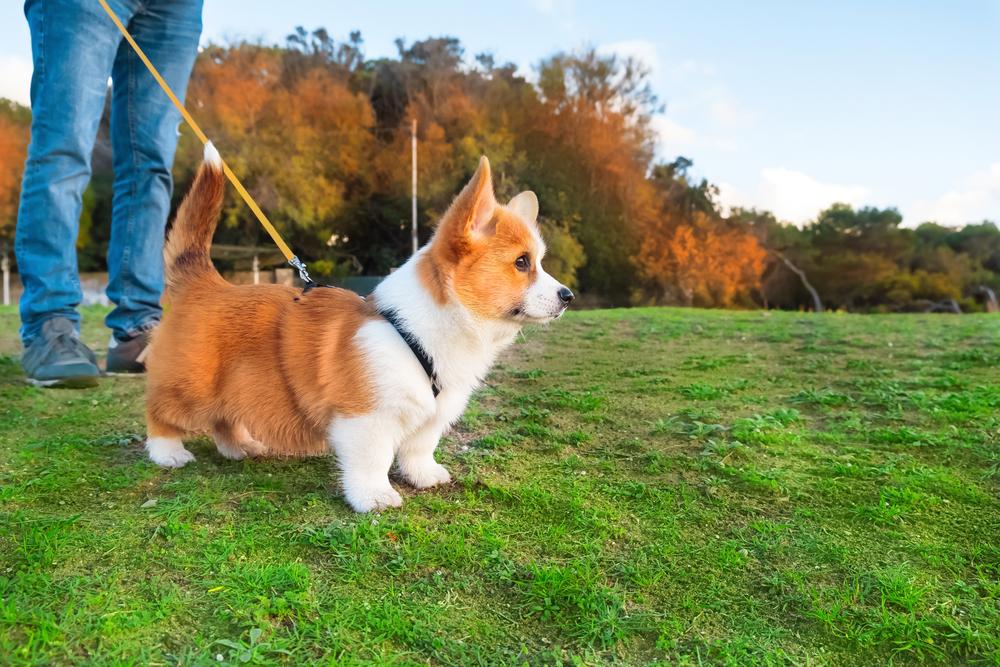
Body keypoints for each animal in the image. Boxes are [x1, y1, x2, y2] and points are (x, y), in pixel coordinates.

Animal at [145, 142, 576, 512]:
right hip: (190, 388)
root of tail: (204, 282)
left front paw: (425, 476)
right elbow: (373, 461)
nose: (568, 296)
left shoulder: (431, 416)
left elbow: (420, 448)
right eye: (521, 263)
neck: (417, 333)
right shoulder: (364, 419)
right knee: (160, 412)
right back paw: (169, 452)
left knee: (223, 420)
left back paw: (239, 447)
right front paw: (374, 497)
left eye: (538, 261)